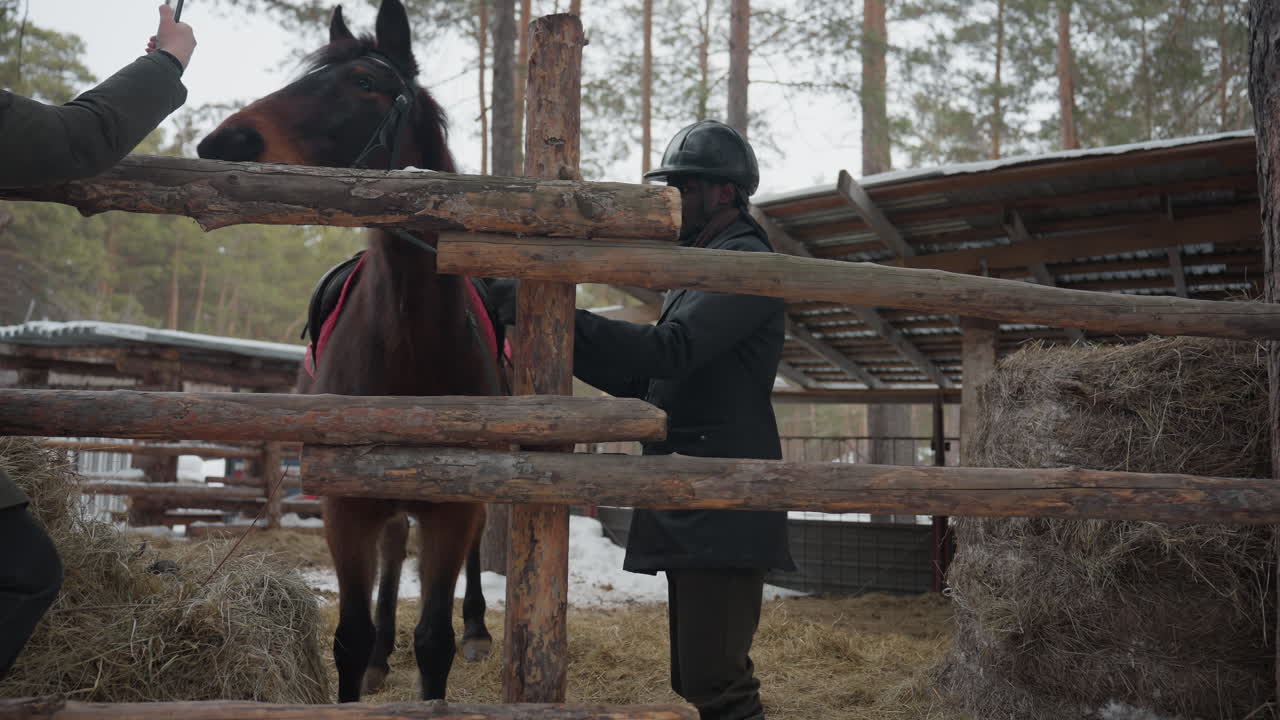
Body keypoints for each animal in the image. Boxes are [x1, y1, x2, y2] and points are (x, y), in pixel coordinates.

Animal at [196, 0, 502, 703]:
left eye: (364, 82)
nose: (226, 143)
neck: (411, 346)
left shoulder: (453, 507)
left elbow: (435, 641)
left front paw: (453, 638)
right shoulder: (345, 508)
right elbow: (351, 636)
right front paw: (370, 655)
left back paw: (476, 628)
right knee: (392, 549)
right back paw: (384, 652)